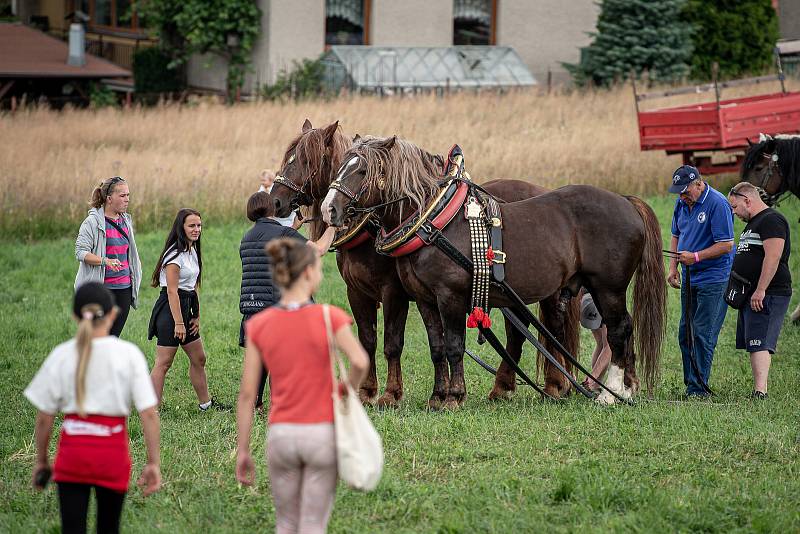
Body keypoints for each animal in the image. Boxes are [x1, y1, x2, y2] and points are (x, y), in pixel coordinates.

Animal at [270, 121, 580, 408]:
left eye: (305, 160)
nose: (275, 201)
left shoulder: (394, 292)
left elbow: (392, 343)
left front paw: (392, 394)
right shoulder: (357, 292)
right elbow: (368, 340)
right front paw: (367, 392)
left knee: (552, 329)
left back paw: (554, 384)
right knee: (519, 333)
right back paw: (504, 387)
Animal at [322, 136, 664, 408]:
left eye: (362, 170)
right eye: (338, 167)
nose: (329, 209)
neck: (434, 222)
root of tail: (625, 201)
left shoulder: (449, 296)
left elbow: (454, 346)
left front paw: (454, 397)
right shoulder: (425, 300)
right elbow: (437, 348)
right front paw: (437, 396)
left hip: (608, 287)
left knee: (619, 329)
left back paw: (611, 392)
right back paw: (621, 390)